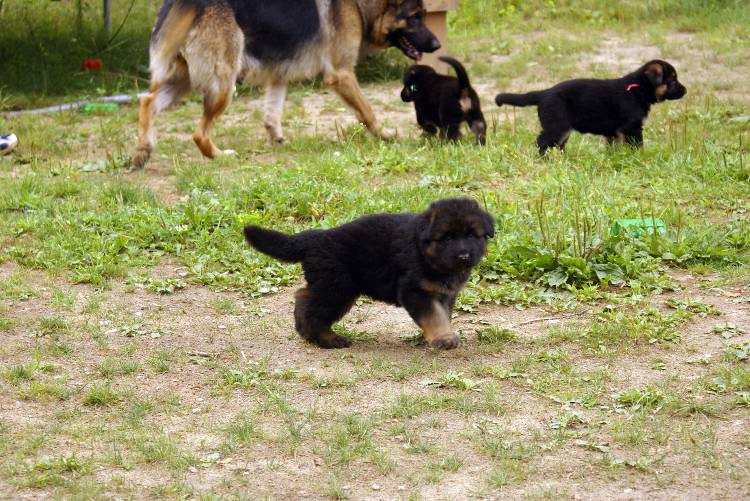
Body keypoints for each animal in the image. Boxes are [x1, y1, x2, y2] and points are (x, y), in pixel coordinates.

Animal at [134, 0, 440, 168]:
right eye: (415, 18)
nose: (437, 45)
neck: (358, 3)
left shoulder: (278, 73)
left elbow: (273, 110)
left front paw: (276, 138)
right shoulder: (341, 74)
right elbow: (367, 111)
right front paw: (385, 134)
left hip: (184, 81)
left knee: (147, 101)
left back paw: (143, 151)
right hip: (223, 84)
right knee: (198, 133)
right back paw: (219, 155)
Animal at [244, 198, 496, 348]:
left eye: (471, 235)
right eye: (448, 238)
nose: (464, 256)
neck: (423, 250)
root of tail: (315, 237)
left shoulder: (444, 294)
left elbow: (442, 314)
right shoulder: (414, 290)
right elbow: (434, 316)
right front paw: (444, 338)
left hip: (329, 286)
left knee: (303, 297)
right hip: (337, 289)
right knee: (313, 312)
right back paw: (328, 340)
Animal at [496, 59, 692, 152]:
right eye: (673, 80)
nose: (685, 90)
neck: (639, 88)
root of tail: (544, 93)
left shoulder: (615, 132)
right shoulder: (632, 128)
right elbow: (638, 147)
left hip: (562, 130)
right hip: (557, 127)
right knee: (541, 142)